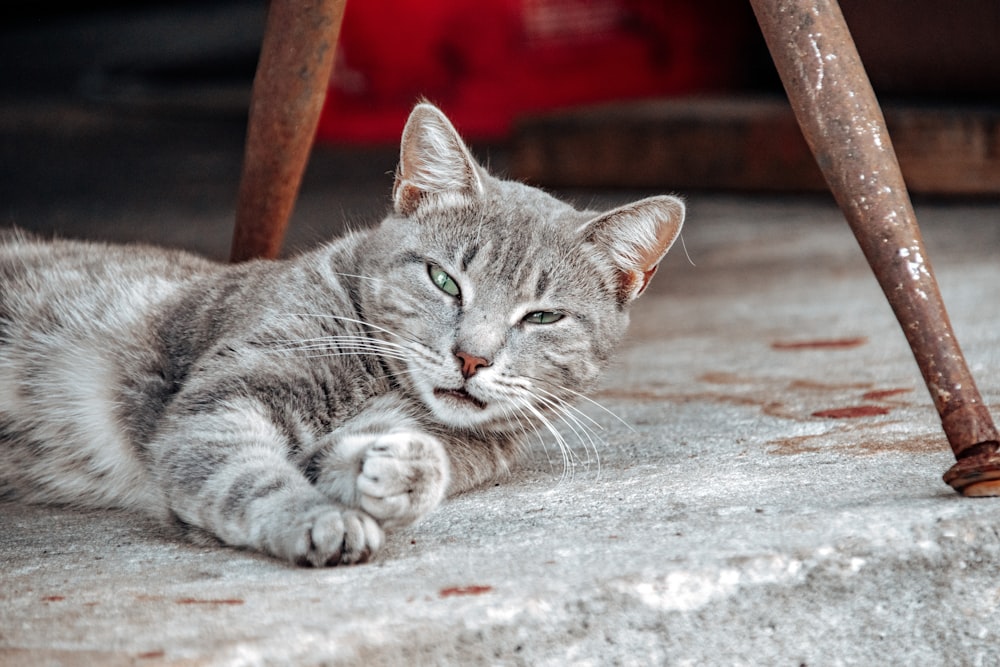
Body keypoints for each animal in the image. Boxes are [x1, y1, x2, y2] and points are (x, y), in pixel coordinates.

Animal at [0, 103, 680, 568]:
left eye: (541, 318)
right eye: (444, 280)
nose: (471, 358)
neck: (382, 383)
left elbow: (406, 455)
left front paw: (400, 469)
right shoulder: (217, 406)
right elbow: (252, 473)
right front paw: (322, 518)